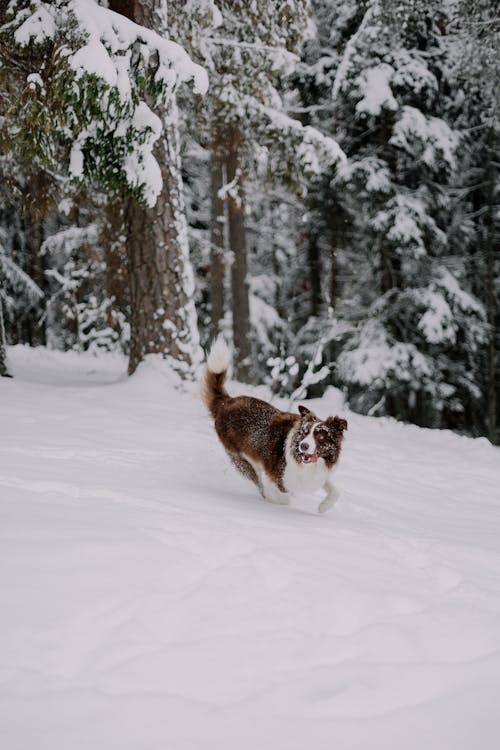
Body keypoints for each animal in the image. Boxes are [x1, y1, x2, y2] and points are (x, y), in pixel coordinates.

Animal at [200, 338, 348, 516]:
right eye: (304, 433)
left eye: (320, 436)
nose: (303, 446)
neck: (305, 462)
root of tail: (226, 403)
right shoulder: (276, 477)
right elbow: (283, 498)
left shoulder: (315, 474)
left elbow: (335, 491)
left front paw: (323, 507)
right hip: (241, 459)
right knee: (259, 483)